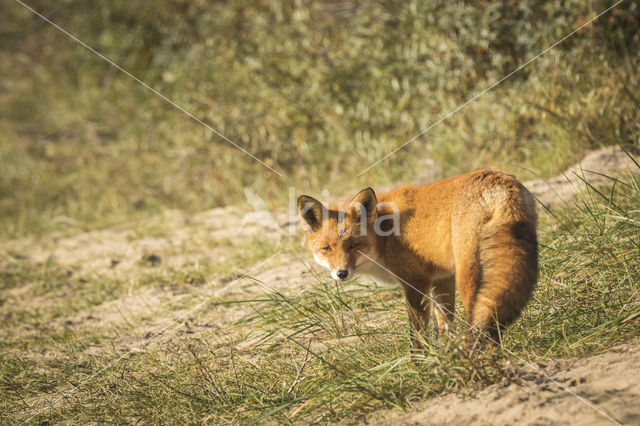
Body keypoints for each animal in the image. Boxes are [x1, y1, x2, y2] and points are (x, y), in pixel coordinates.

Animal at [298, 168, 536, 348]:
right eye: (327, 249)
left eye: (354, 245)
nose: (341, 273)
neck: (384, 234)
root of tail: (498, 180)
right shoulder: (442, 278)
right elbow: (444, 326)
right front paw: (447, 357)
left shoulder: (416, 282)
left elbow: (417, 336)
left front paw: (420, 364)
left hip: (469, 278)